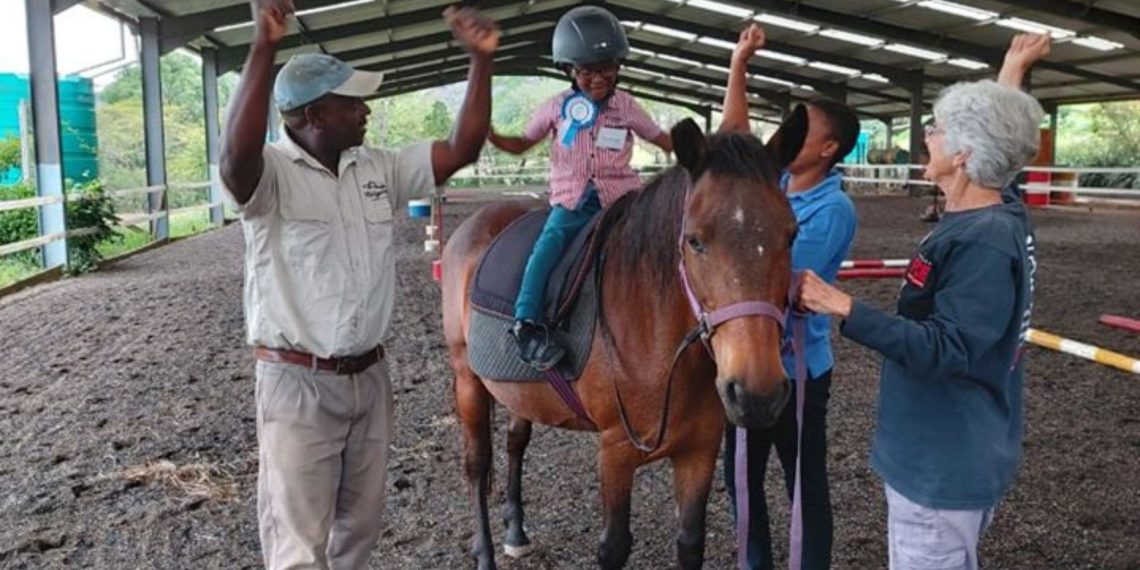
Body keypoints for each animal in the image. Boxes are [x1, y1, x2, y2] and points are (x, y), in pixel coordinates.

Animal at [441, 109, 808, 570]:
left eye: (792, 235)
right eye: (695, 240)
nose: (757, 394)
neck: (658, 337)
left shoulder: (700, 450)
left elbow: (690, 542)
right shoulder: (615, 451)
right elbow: (614, 546)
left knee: (515, 442)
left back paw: (516, 531)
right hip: (466, 378)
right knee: (476, 465)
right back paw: (486, 552)